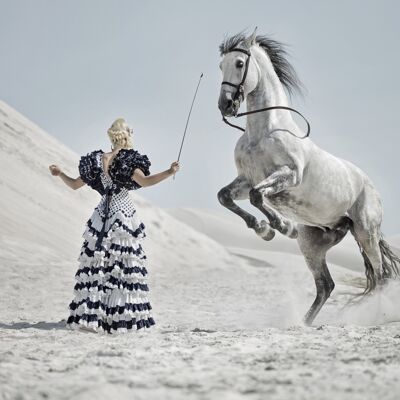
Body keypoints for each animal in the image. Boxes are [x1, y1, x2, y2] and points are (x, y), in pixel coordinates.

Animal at [217, 30, 398, 324]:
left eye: (239, 64)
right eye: (221, 66)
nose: (225, 105)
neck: (262, 133)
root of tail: (371, 186)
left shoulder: (288, 175)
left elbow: (257, 196)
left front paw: (279, 226)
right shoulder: (245, 180)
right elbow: (225, 197)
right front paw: (264, 229)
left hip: (365, 232)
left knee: (381, 278)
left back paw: (376, 316)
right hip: (313, 243)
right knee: (326, 285)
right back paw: (303, 323)